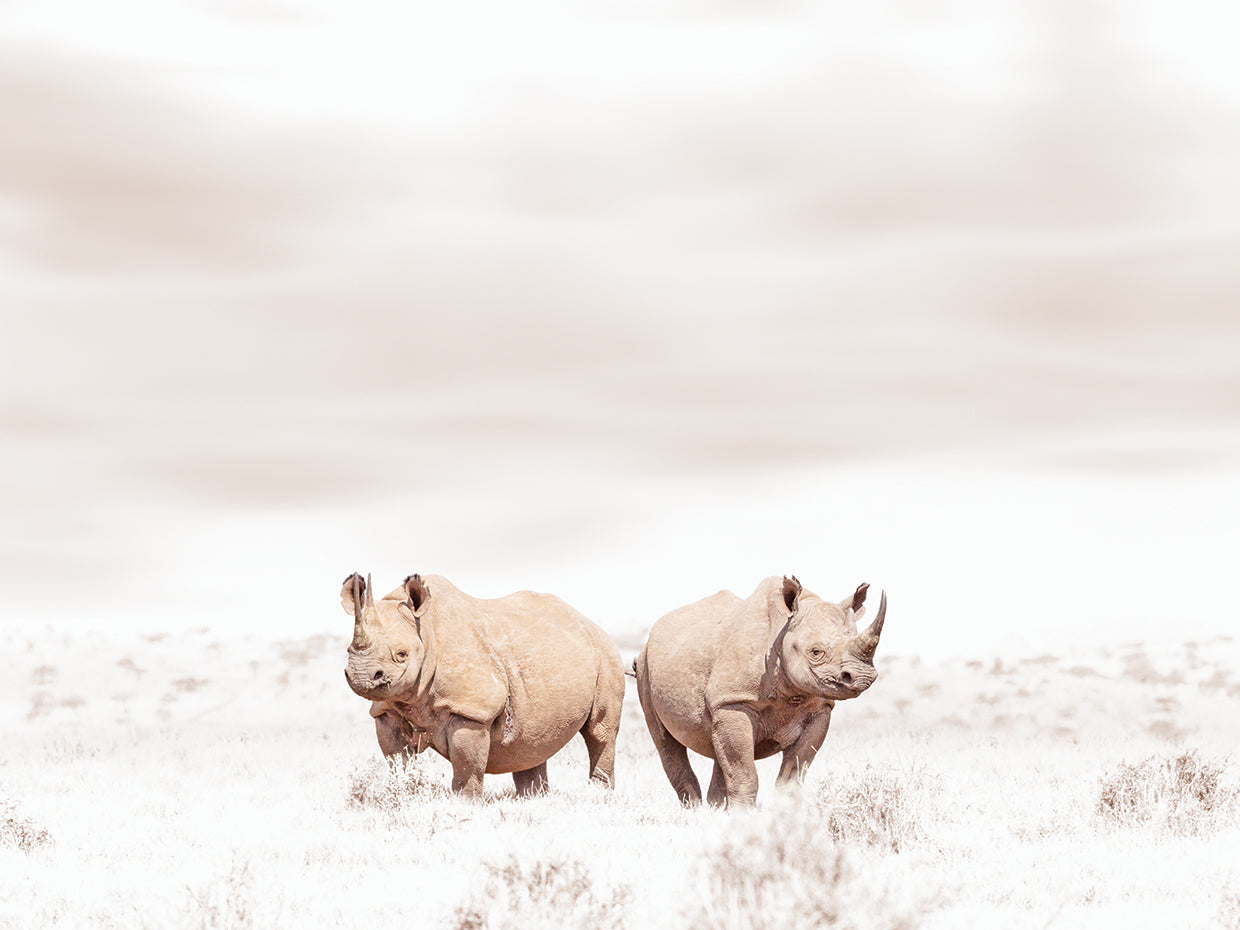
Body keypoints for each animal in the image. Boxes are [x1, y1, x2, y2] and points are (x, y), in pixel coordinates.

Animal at [341, 572, 626, 797]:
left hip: (607, 654)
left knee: (600, 732)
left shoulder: (472, 709)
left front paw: (464, 803)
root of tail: (590, 623)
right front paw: (403, 795)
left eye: (401, 654)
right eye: (348, 650)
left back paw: (599, 795)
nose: (361, 676)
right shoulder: (386, 710)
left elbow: (467, 763)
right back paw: (533, 798)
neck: (427, 632)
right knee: (533, 737)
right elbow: (397, 761)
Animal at [634, 575, 886, 807]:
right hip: (644, 664)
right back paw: (695, 813)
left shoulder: (819, 709)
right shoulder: (734, 702)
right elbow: (744, 772)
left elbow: (793, 774)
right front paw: (744, 817)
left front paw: (785, 814)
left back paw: (716, 810)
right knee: (665, 741)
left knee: (718, 746)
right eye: (815, 652)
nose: (863, 677)